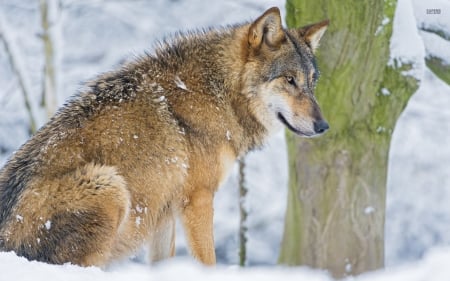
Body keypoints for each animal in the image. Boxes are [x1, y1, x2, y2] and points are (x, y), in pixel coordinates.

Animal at [0, 6, 328, 264]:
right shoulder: (197, 199)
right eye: (289, 80)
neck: (219, 92)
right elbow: (208, 261)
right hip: (110, 185)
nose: (324, 126)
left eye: (312, 82)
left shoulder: (164, 213)